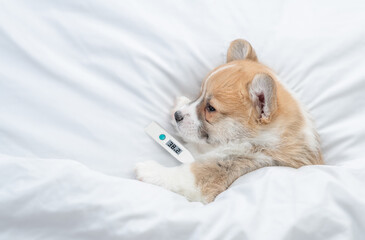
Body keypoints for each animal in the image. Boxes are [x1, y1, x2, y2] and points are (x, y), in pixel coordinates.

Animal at [134, 39, 322, 202]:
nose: (177, 115)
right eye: (199, 94)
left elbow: (185, 174)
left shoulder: (215, 174)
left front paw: (149, 170)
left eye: (211, 108)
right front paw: (180, 104)